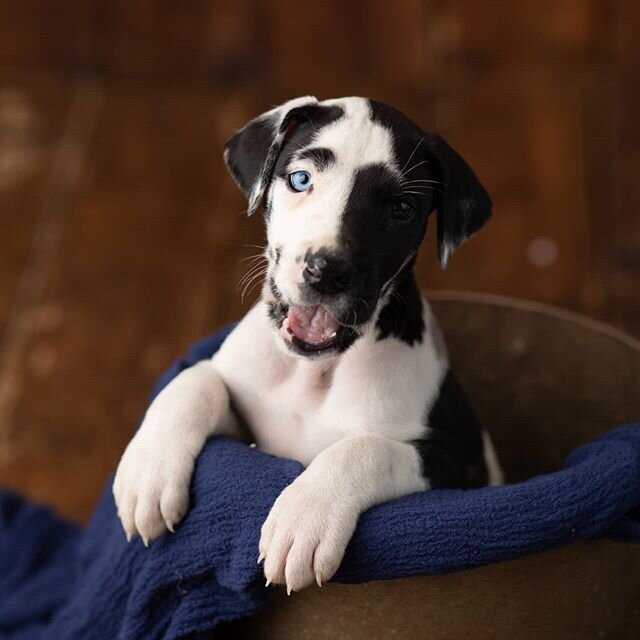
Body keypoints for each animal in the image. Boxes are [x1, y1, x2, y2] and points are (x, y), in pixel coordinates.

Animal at [115, 96, 504, 596]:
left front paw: (305, 517)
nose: (326, 270)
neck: (315, 370)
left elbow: (363, 449)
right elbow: (197, 379)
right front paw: (149, 472)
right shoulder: (247, 421)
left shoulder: (451, 463)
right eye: (301, 179)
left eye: (401, 208)